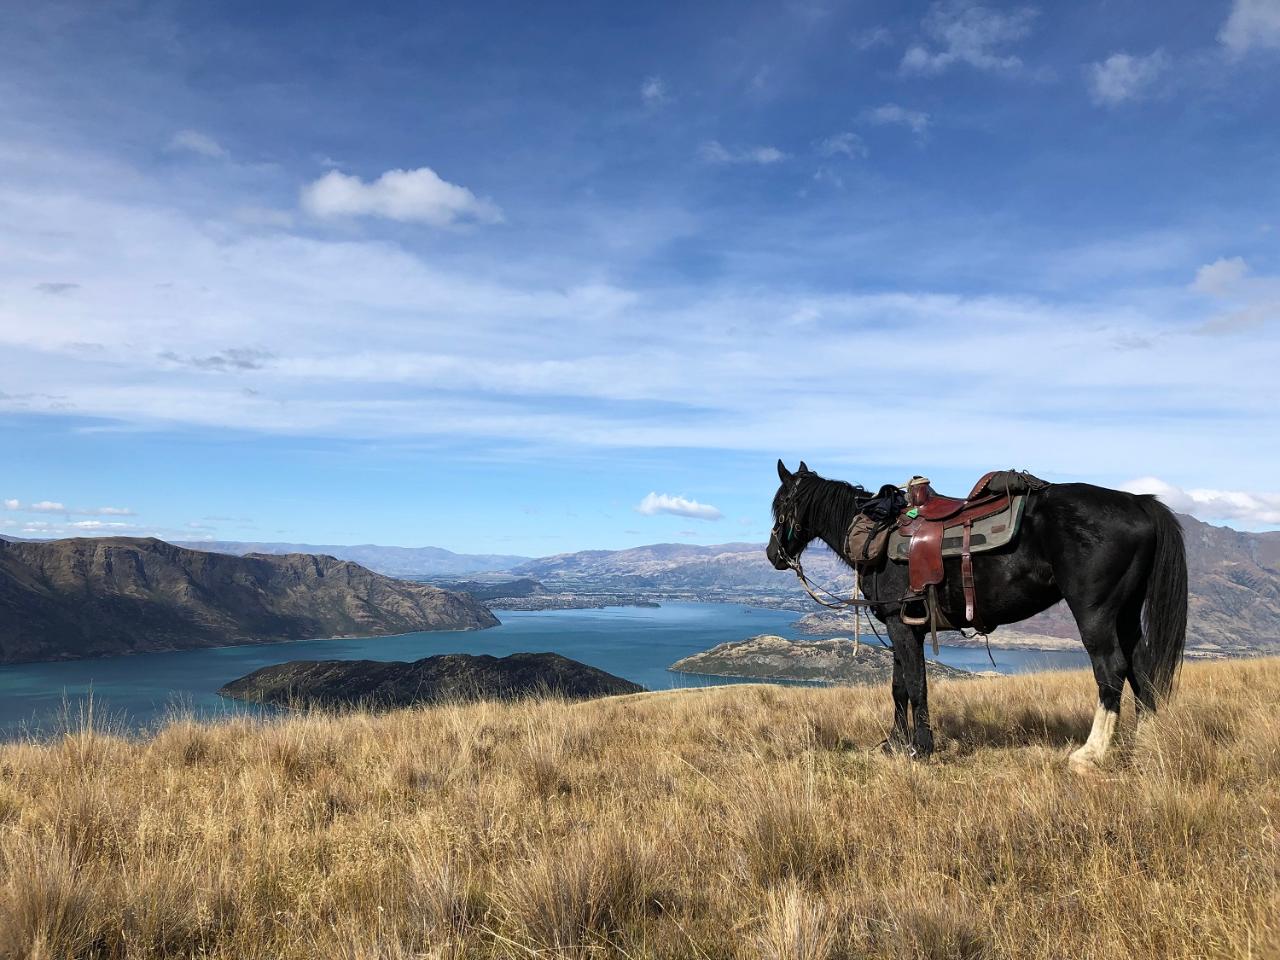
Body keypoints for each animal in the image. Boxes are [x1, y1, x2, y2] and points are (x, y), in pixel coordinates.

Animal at [762, 460, 1182, 773]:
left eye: (781, 506)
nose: (772, 554)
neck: (874, 537)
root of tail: (1138, 501)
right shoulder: (903, 628)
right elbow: (899, 687)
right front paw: (895, 743)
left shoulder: (901, 625)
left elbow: (916, 685)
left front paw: (921, 748)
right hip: (1126, 613)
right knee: (1141, 667)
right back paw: (1146, 743)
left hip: (1094, 611)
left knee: (1111, 669)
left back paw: (1090, 754)